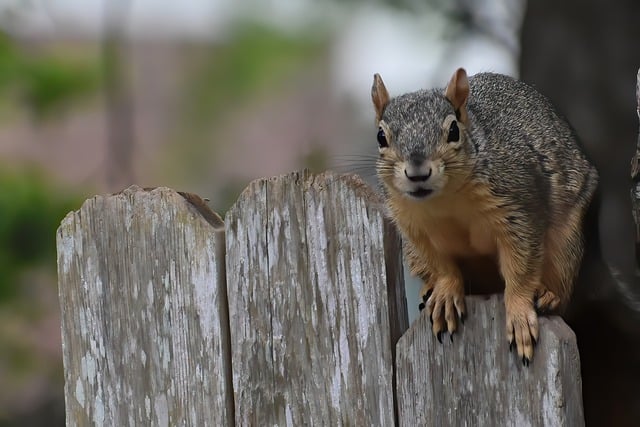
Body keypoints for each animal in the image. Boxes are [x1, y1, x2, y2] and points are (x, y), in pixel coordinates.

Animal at [370, 68, 600, 366]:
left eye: (454, 130)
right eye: (380, 137)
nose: (417, 172)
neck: (443, 199)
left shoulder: (516, 207)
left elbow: (521, 268)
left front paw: (519, 314)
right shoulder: (413, 227)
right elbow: (441, 265)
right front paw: (445, 292)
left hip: (566, 244)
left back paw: (548, 296)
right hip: (413, 256)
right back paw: (430, 289)